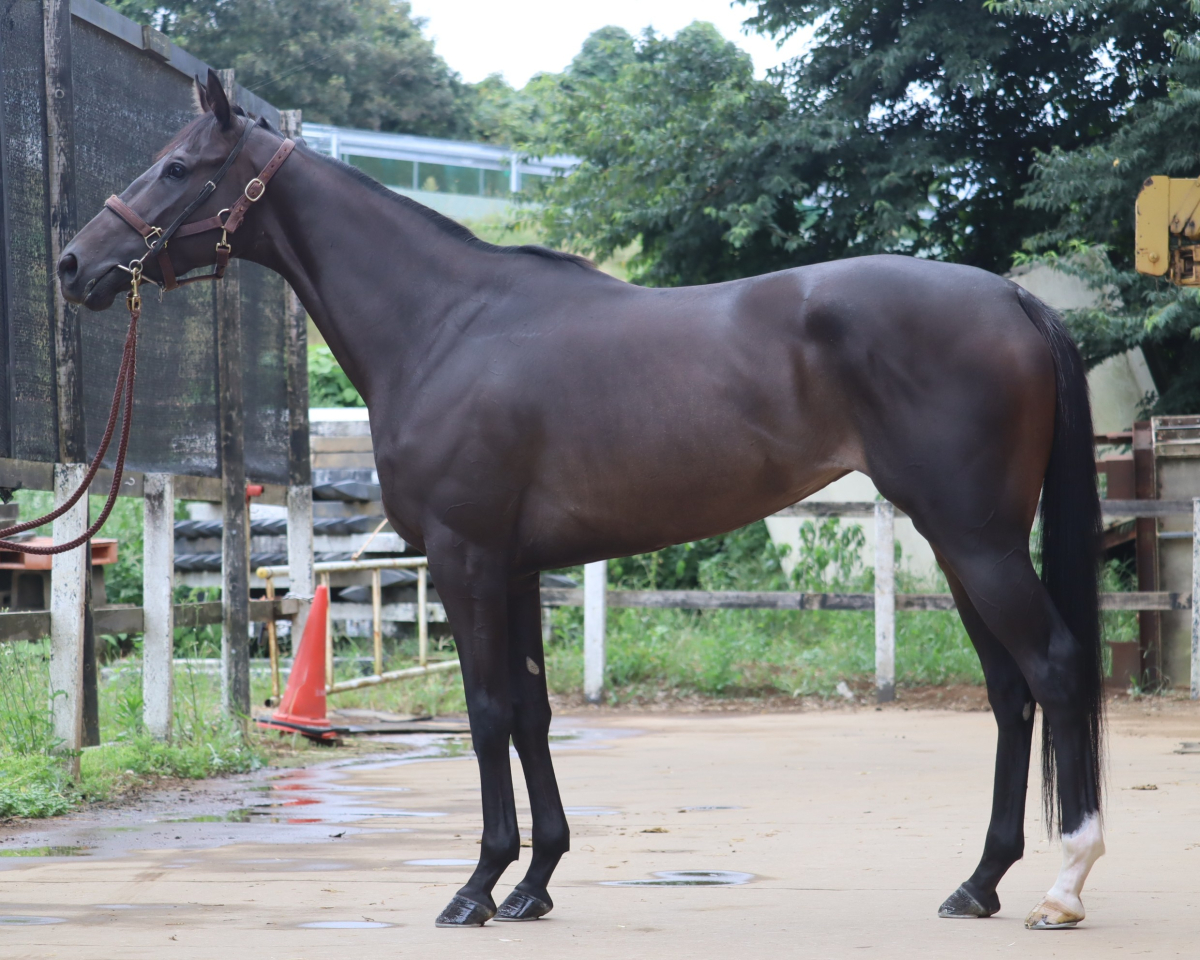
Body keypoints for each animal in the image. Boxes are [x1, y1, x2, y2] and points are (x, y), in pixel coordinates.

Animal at [58, 71, 1105, 931]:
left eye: (177, 166)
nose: (74, 264)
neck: (444, 326)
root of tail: (1015, 299)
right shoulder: (517, 569)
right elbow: (532, 711)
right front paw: (534, 883)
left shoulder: (466, 559)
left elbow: (485, 712)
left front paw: (476, 888)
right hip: (960, 541)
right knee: (1010, 691)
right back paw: (980, 882)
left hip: (977, 539)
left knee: (1053, 670)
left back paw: (1062, 885)